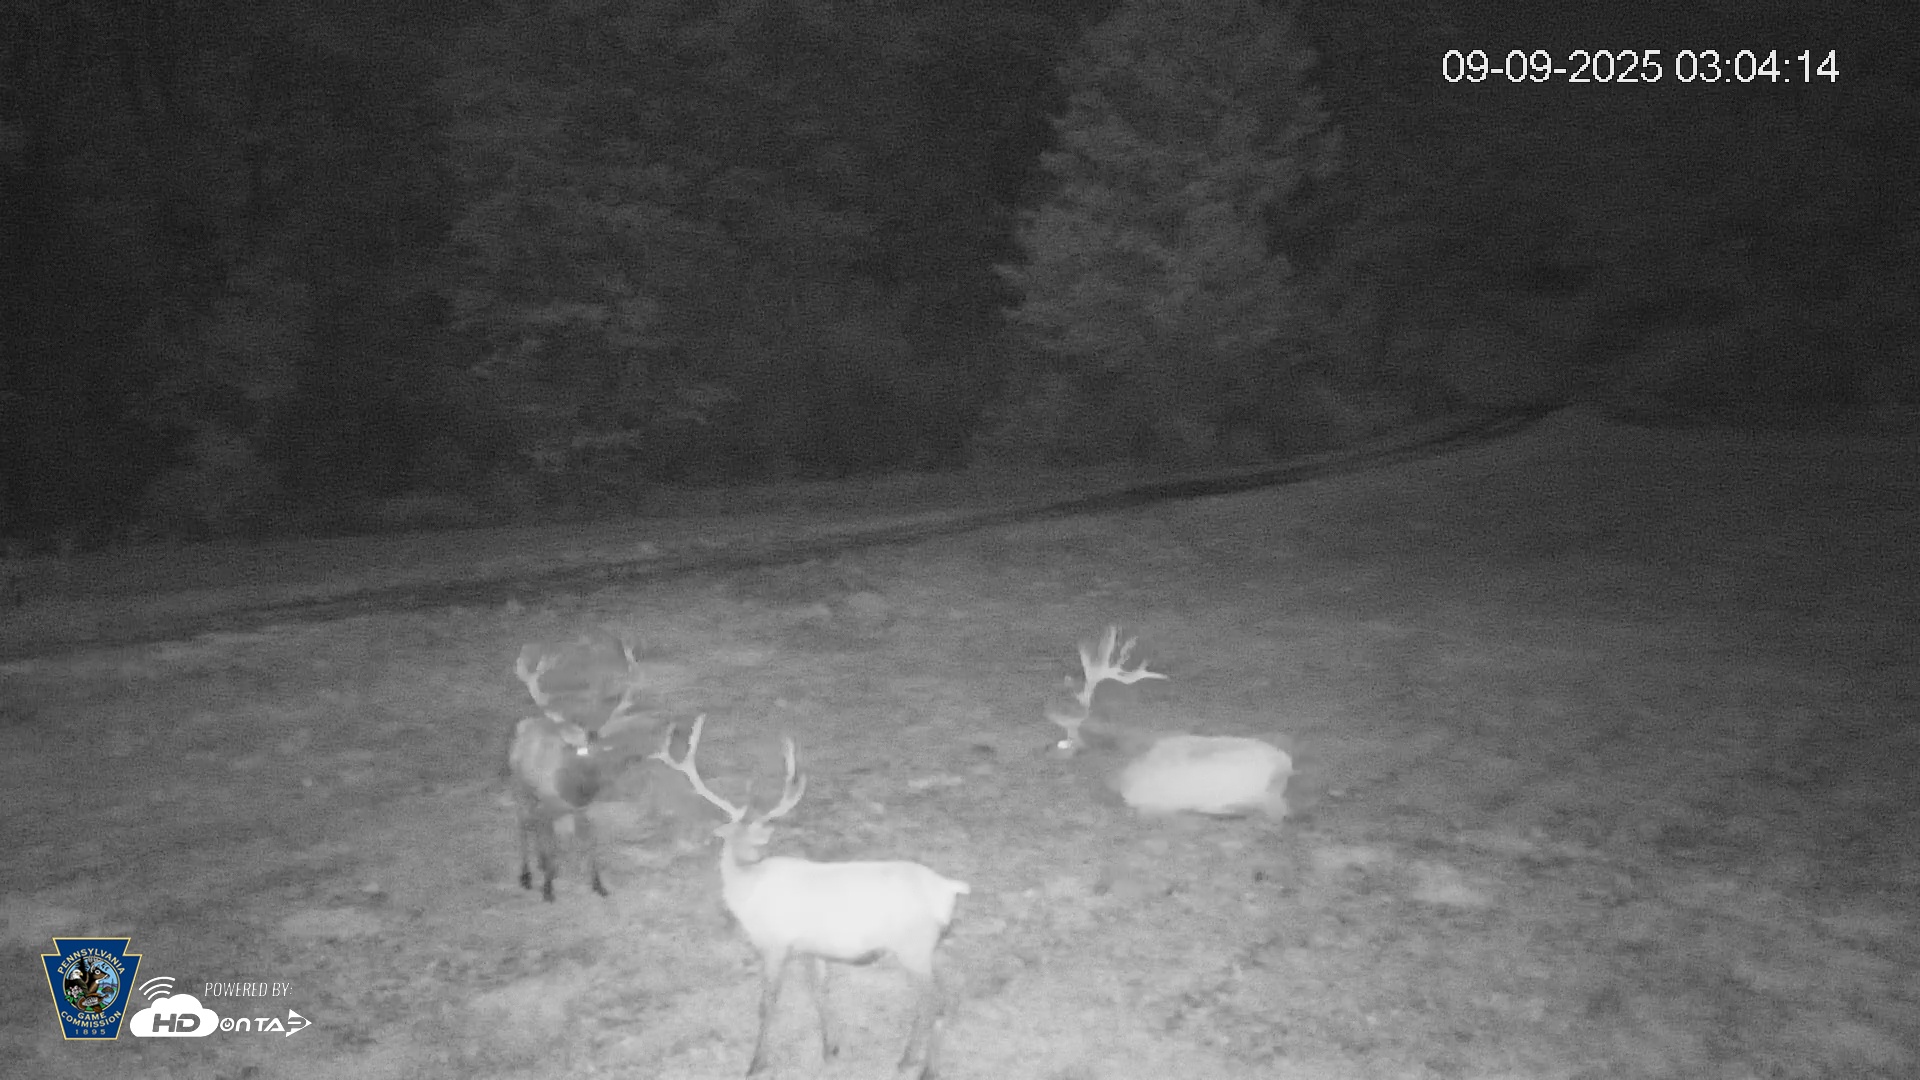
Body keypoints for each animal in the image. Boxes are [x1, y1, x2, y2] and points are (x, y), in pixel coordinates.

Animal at [653, 715, 969, 1079]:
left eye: (752, 837)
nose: (750, 852)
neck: (747, 888)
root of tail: (949, 888)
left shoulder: (774, 943)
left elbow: (767, 1004)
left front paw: (756, 1063)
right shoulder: (810, 948)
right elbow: (819, 993)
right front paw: (830, 1049)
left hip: (913, 946)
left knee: (937, 1003)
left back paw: (924, 1068)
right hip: (920, 950)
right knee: (933, 1000)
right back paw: (906, 1058)